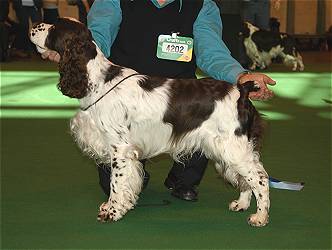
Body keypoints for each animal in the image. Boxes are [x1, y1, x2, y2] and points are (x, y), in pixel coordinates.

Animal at [30, 18, 270, 227]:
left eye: (54, 27)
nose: (34, 26)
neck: (98, 80)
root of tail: (241, 91)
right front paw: (112, 207)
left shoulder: (120, 149)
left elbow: (116, 183)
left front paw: (112, 212)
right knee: (246, 179)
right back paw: (241, 204)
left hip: (231, 146)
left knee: (260, 177)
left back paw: (260, 217)